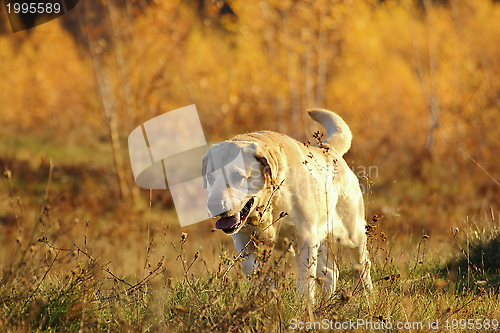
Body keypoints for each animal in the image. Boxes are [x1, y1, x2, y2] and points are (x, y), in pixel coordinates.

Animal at [202, 109, 372, 298]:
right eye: (210, 177)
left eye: (237, 176)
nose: (213, 205)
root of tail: (328, 149)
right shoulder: (243, 239)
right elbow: (252, 269)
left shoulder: (305, 238)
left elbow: (305, 282)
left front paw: (303, 303)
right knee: (330, 271)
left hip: (351, 233)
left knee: (363, 264)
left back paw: (368, 295)